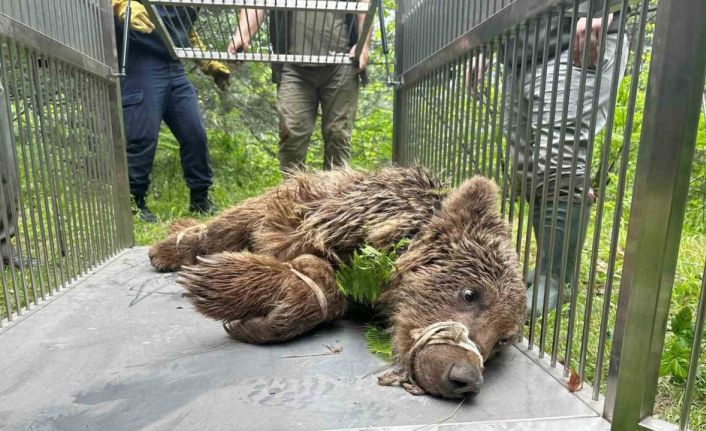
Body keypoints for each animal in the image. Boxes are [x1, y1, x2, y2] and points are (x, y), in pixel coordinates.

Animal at [148, 167, 524, 400]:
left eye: (502, 340)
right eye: (470, 293)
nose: (465, 378)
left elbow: (326, 288)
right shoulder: (318, 213)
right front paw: (220, 281)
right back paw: (169, 246)